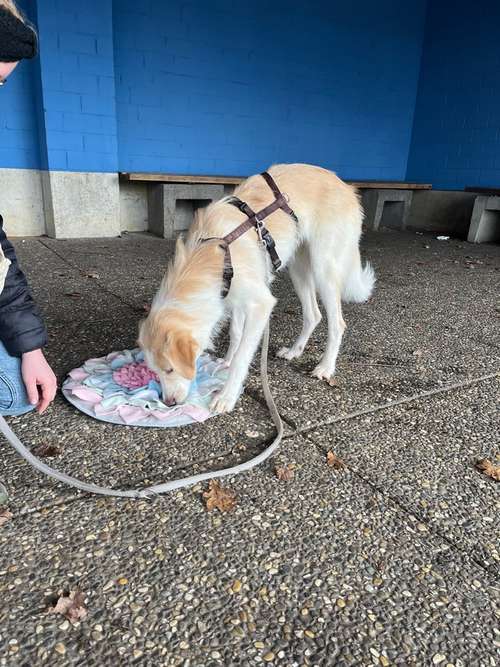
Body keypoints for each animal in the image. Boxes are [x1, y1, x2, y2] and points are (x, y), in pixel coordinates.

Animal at [139, 163, 374, 412]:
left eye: (170, 369)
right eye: (155, 371)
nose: (168, 403)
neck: (213, 253)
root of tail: (347, 188)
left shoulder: (260, 304)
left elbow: (242, 356)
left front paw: (227, 396)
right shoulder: (234, 299)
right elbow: (235, 333)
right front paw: (226, 361)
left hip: (323, 268)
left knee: (337, 323)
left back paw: (326, 367)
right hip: (298, 269)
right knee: (313, 315)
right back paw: (294, 351)